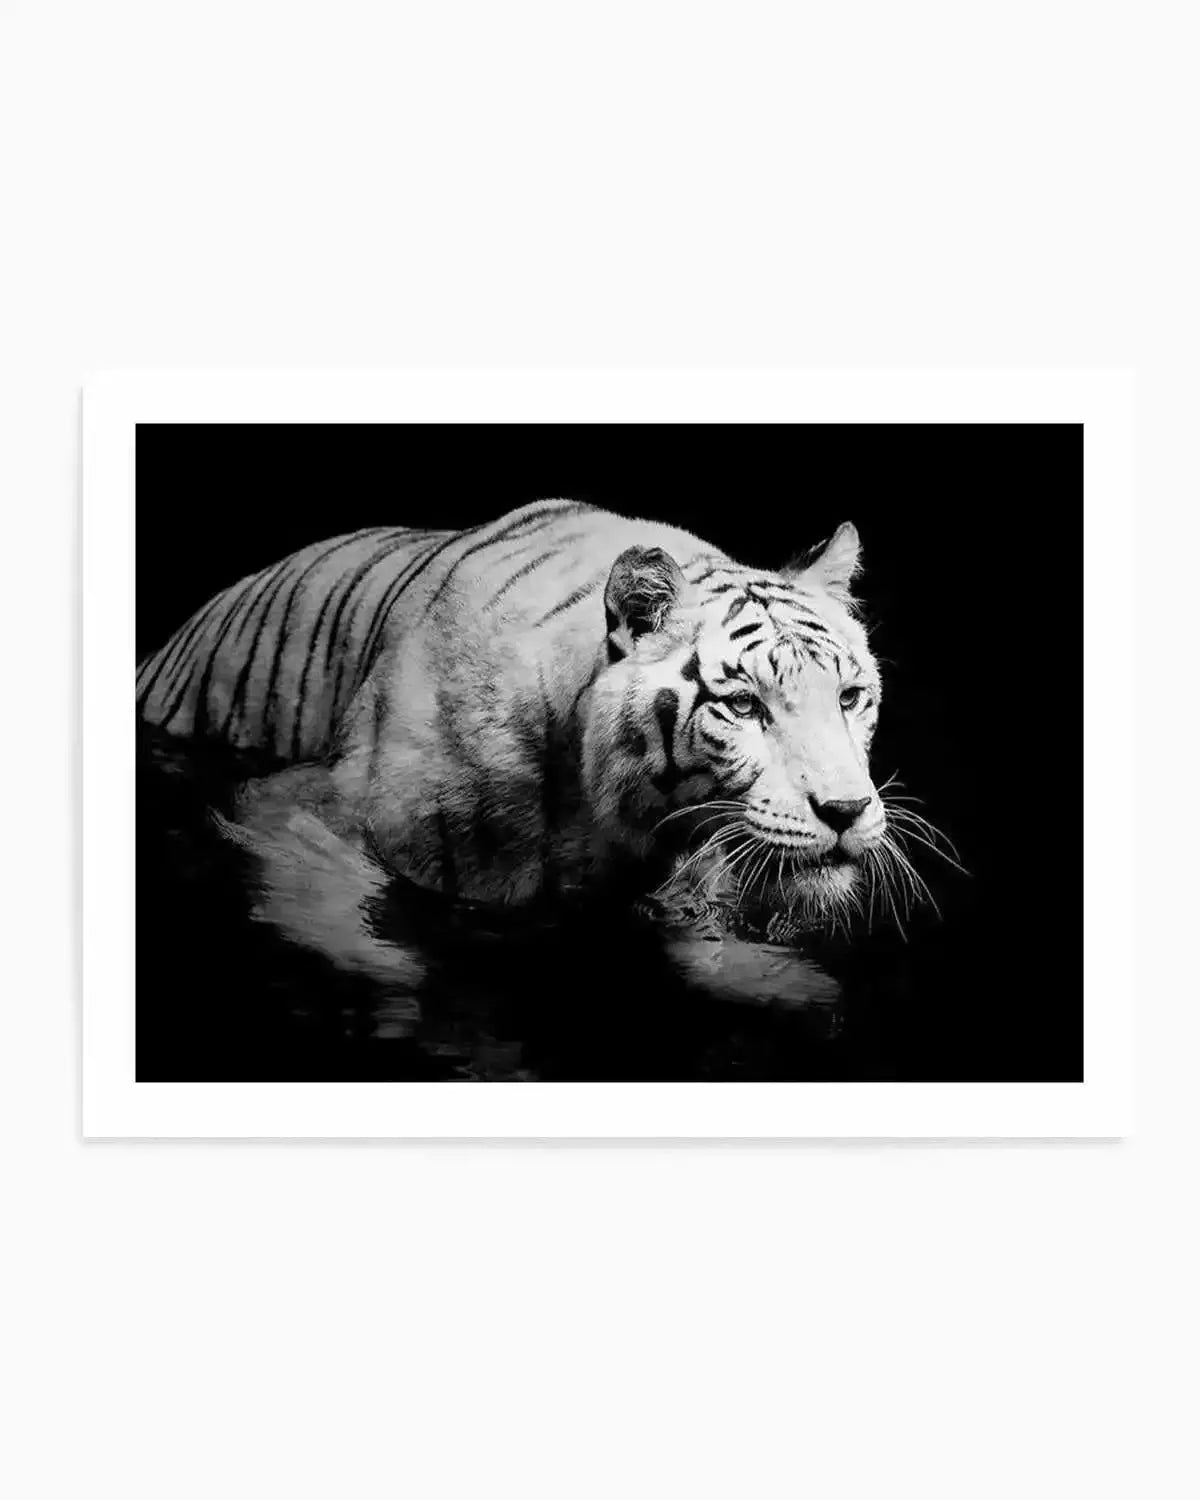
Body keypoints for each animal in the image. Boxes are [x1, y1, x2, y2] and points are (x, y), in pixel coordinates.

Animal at [137, 498, 890, 1008]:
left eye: (850, 696)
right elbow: (326, 900)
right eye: (744, 707)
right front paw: (390, 978)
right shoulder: (293, 808)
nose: (847, 809)